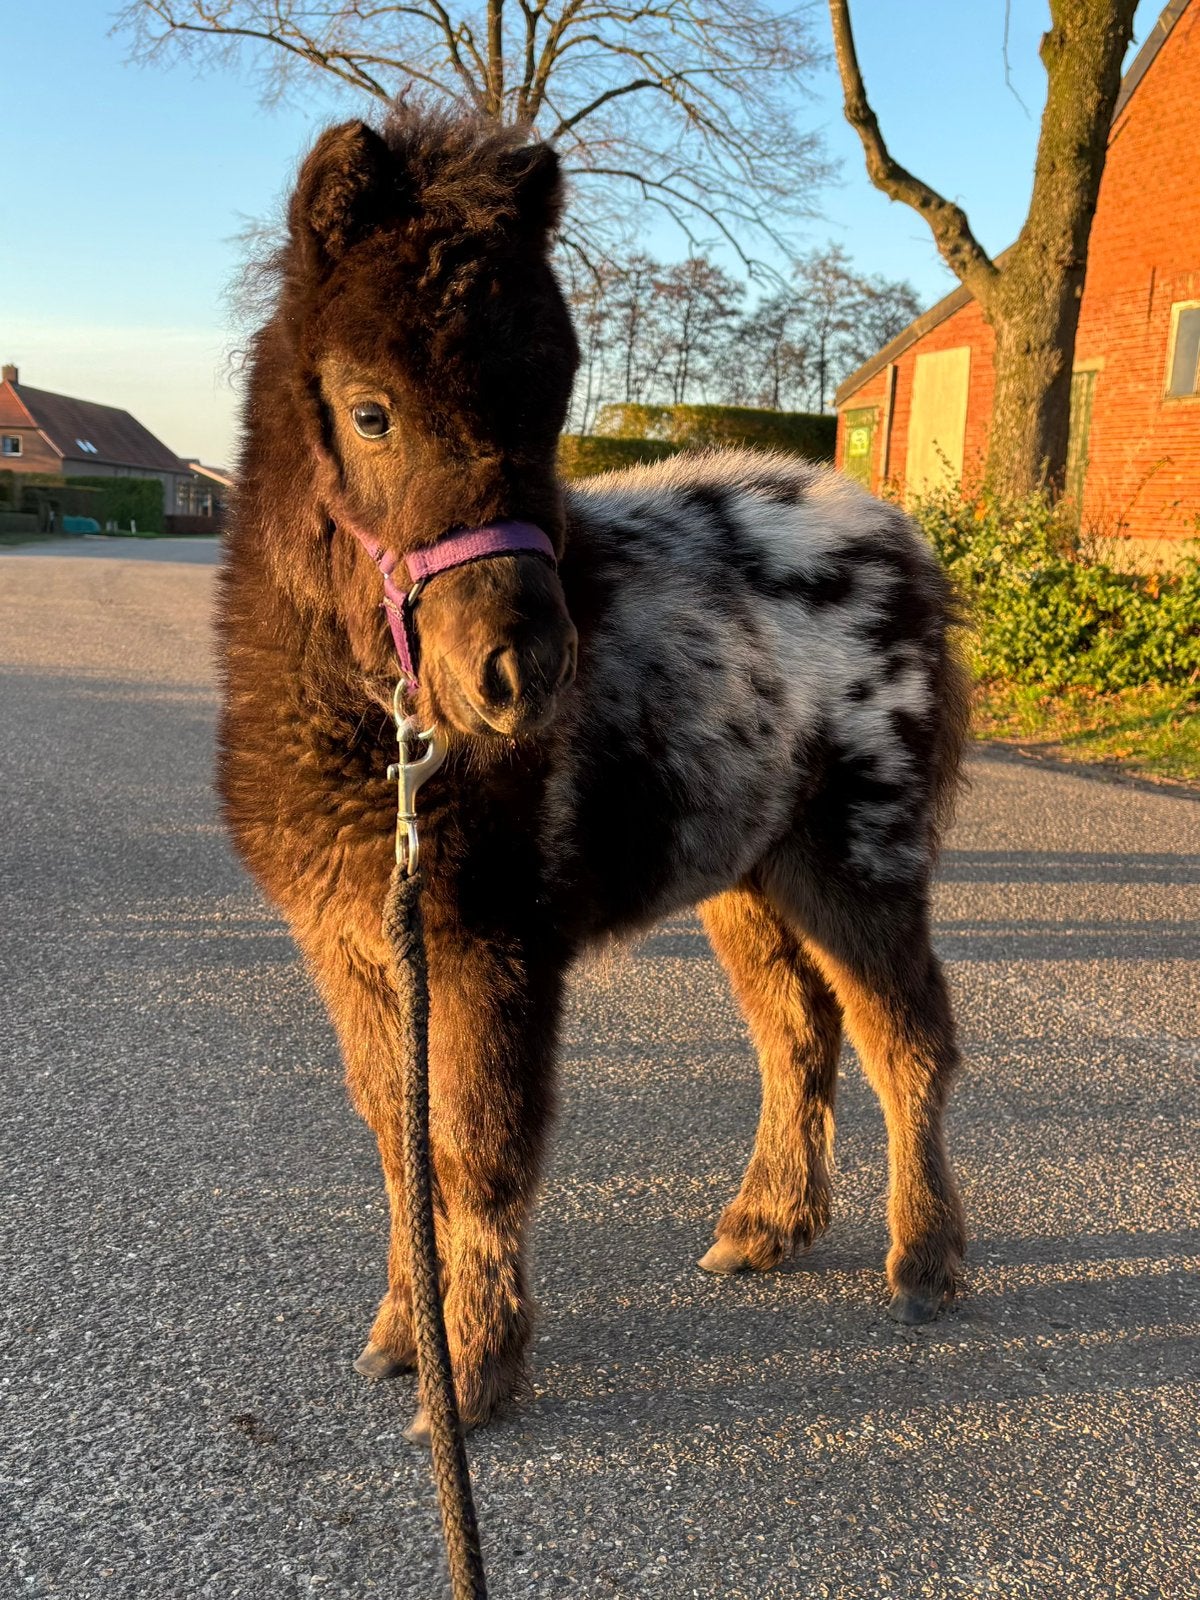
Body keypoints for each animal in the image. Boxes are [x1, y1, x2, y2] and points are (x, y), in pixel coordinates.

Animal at [218, 104, 970, 1437]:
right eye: (370, 410)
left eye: (555, 397)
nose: (522, 674)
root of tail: (901, 541)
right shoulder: (352, 944)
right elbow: (398, 1142)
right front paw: (405, 1337)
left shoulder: (494, 942)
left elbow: (475, 1150)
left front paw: (473, 1376)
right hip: (749, 874)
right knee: (799, 1031)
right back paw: (766, 1224)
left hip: (860, 858)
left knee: (909, 1036)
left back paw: (924, 1261)